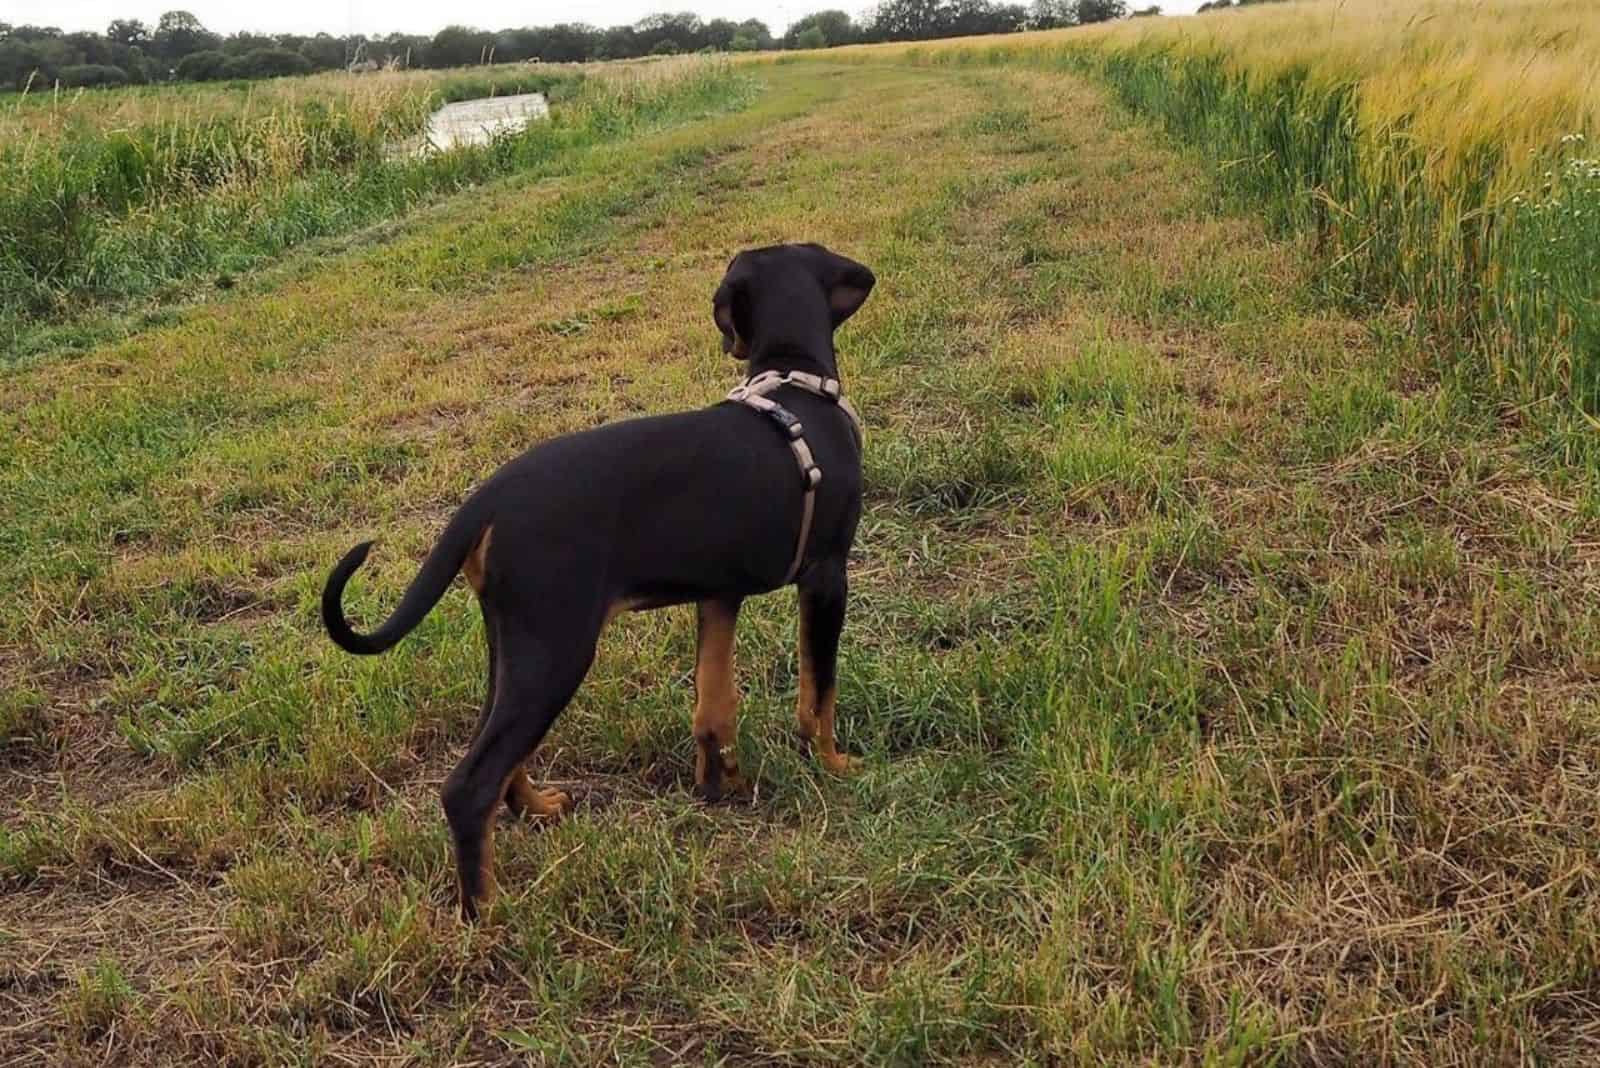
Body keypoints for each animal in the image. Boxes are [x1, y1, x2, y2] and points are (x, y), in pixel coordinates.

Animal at [323, 241, 876, 920]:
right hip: (558, 649)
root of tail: (488, 499)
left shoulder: (719, 595)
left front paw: (719, 784)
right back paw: (488, 913)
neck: (798, 384)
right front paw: (834, 764)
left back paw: (536, 809)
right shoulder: (827, 577)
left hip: (514, 645)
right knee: (468, 784)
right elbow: (817, 694)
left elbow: (713, 703)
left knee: (498, 753)